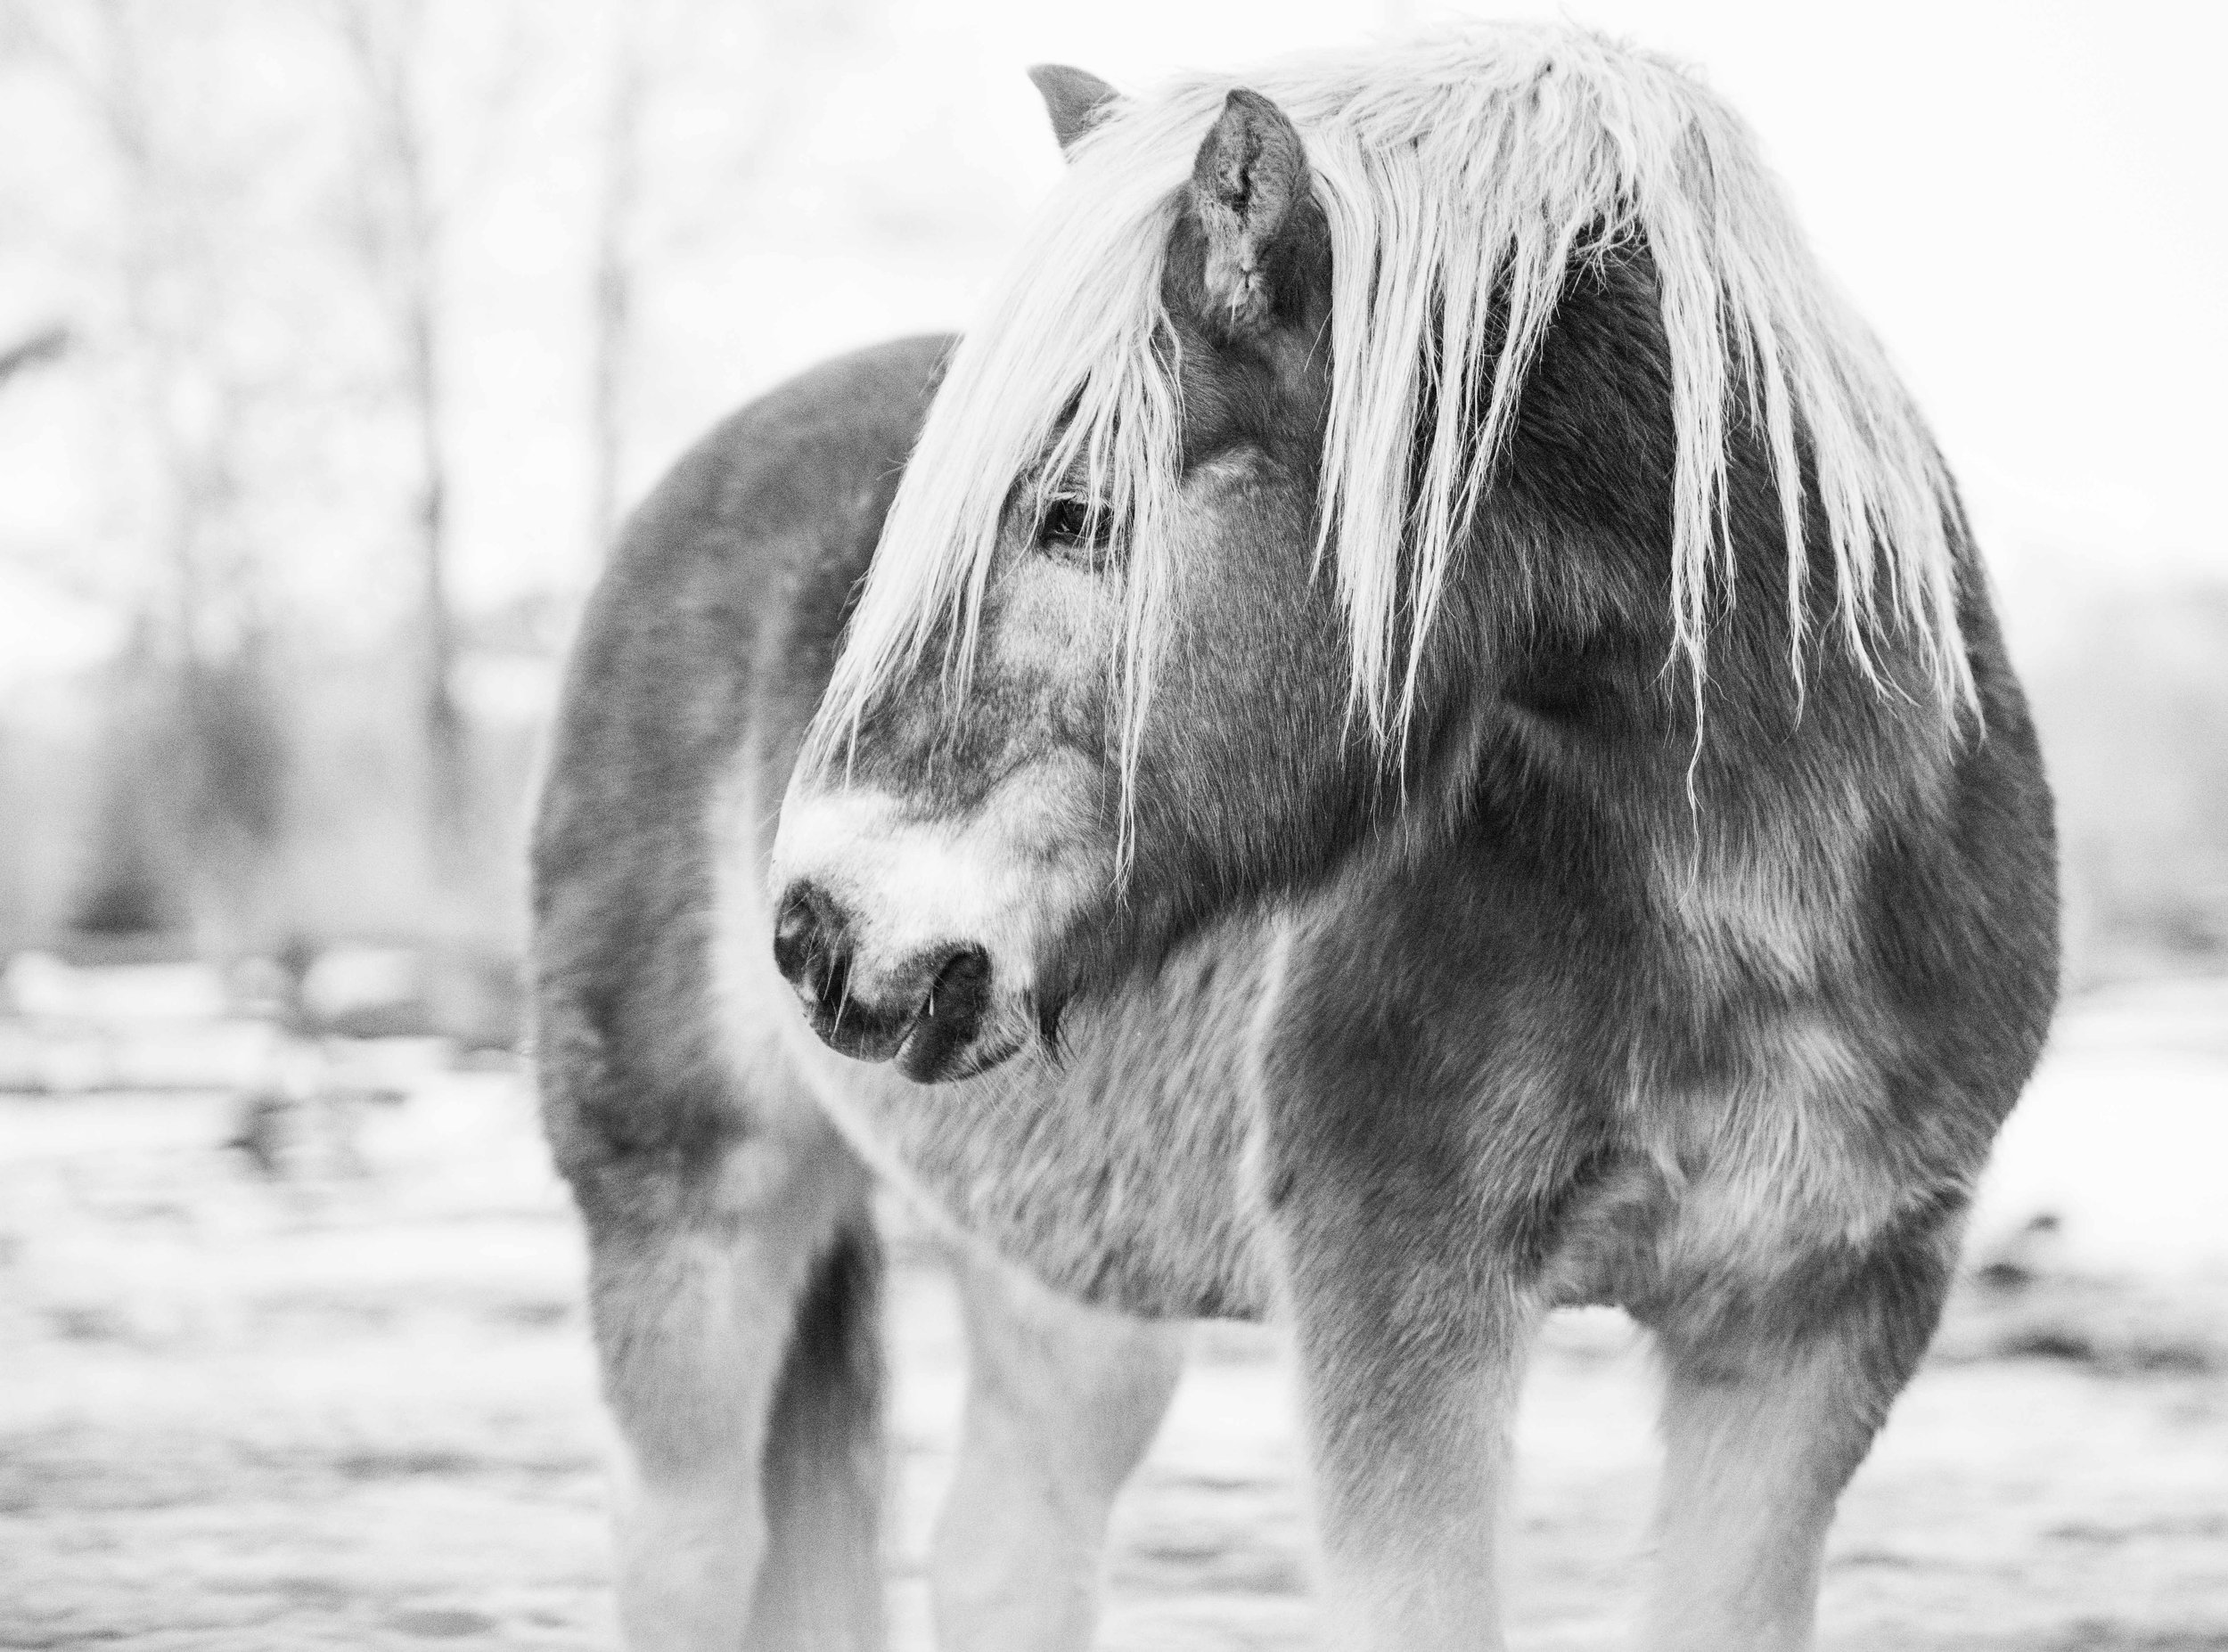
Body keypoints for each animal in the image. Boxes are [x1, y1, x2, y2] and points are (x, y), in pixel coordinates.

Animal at [532, 25, 2058, 1652]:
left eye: (1078, 512)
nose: (820, 928)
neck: (1763, 897)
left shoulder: (1812, 1326)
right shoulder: (1397, 1293)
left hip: (1068, 1276)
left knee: (1003, 1549)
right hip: (692, 1205)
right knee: (692, 1538)